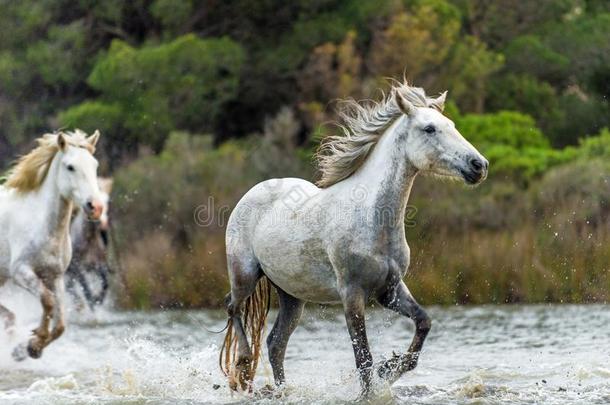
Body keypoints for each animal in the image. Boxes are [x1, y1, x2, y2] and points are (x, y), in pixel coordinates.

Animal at [0, 130, 102, 360]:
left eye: (95, 165)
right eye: (70, 167)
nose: (96, 207)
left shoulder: (55, 276)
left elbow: (61, 322)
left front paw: (28, 348)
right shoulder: (21, 271)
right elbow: (48, 301)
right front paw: (34, 342)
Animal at [218, 79, 484, 394]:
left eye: (451, 125)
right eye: (429, 128)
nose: (479, 165)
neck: (373, 219)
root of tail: (254, 191)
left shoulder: (389, 290)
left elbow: (423, 323)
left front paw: (390, 369)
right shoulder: (352, 294)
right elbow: (363, 359)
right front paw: (376, 383)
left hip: (292, 296)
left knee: (275, 344)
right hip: (244, 274)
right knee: (232, 307)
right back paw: (244, 365)